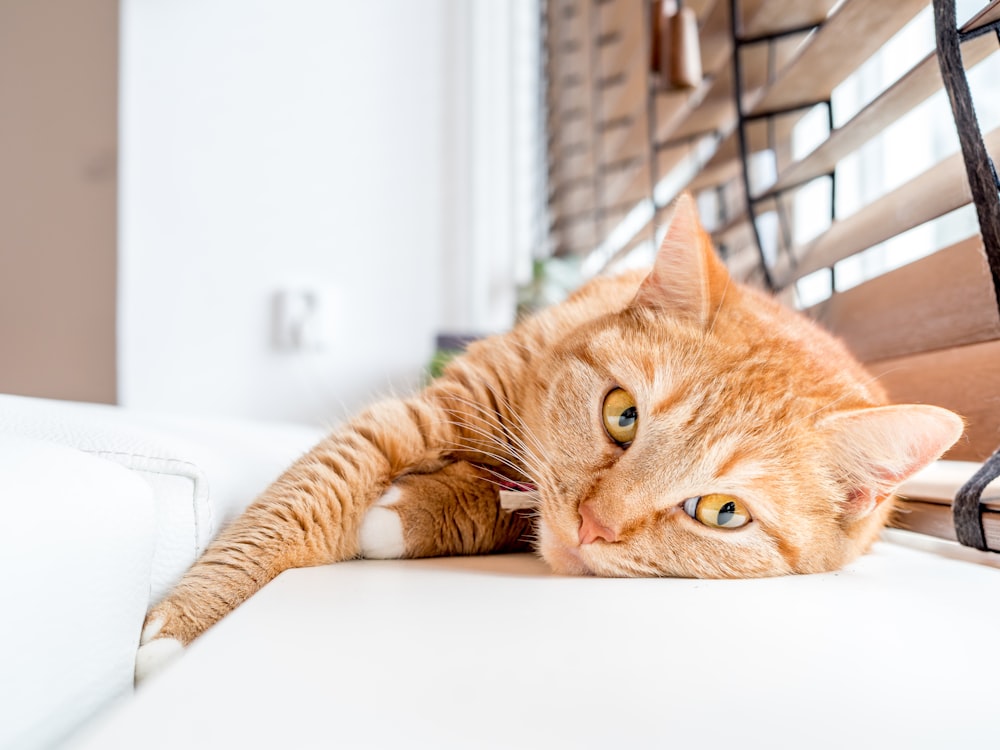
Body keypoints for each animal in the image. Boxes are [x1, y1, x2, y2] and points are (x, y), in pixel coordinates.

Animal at [137, 197, 964, 680]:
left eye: (723, 512)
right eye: (623, 414)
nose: (594, 525)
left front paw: (402, 517)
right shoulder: (416, 417)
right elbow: (297, 505)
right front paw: (180, 633)